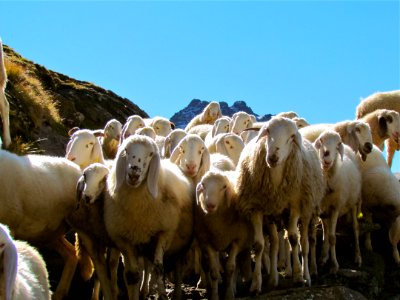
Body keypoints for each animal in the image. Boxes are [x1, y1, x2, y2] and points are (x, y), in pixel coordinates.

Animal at [104, 136, 195, 300]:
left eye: (151, 154)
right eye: (126, 150)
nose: (134, 173)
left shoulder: (164, 233)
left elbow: (159, 268)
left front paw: (162, 295)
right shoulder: (124, 239)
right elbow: (132, 274)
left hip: (180, 244)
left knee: (177, 268)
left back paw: (176, 293)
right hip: (146, 243)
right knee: (146, 267)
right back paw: (145, 290)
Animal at [195, 171, 253, 300]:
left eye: (224, 187)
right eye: (203, 185)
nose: (210, 205)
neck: (218, 224)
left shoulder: (237, 240)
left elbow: (230, 268)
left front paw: (229, 294)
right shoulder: (208, 242)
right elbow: (214, 271)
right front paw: (214, 295)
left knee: (236, 266)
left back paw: (234, 287)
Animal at [234, 116, 324, 292]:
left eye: (291, 137)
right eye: (268, 131)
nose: (273, 157)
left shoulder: (295, 205)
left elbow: (294, 239)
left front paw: (298, 277)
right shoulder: (257, 208)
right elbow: (259, 245)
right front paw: (256, 284)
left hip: (307, 210)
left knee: (305, 243)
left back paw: (307, 274)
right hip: (274, 216)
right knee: (276, 243)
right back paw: (274, 279)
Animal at [314, 130, 364, 274]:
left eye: (337, 144)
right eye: (321, 141)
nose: (326, 156)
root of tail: (347, 148)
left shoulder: (335, 207)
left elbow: (332, 237)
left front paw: (334, 265)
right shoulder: (320, 209)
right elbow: (323, 235)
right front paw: (322, 259)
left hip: (354, 202)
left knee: (355, 228)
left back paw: (358, 257)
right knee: (326, 231)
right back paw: (324, 257)